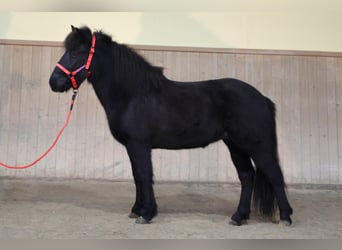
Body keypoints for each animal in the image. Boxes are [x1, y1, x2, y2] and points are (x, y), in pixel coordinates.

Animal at [49, 26, 292, 226]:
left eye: (75, 52)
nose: (54, 82)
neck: (132, 94)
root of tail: (261, 98)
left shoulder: (139, 145)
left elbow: (145, 175)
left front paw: (147, 214)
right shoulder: (132, 147)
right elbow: (137, 176)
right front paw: (137, 209)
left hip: (257, 146)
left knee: (274, 175)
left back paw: (286, 217)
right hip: (235, 145)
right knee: (247, 176)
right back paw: (238, 217)